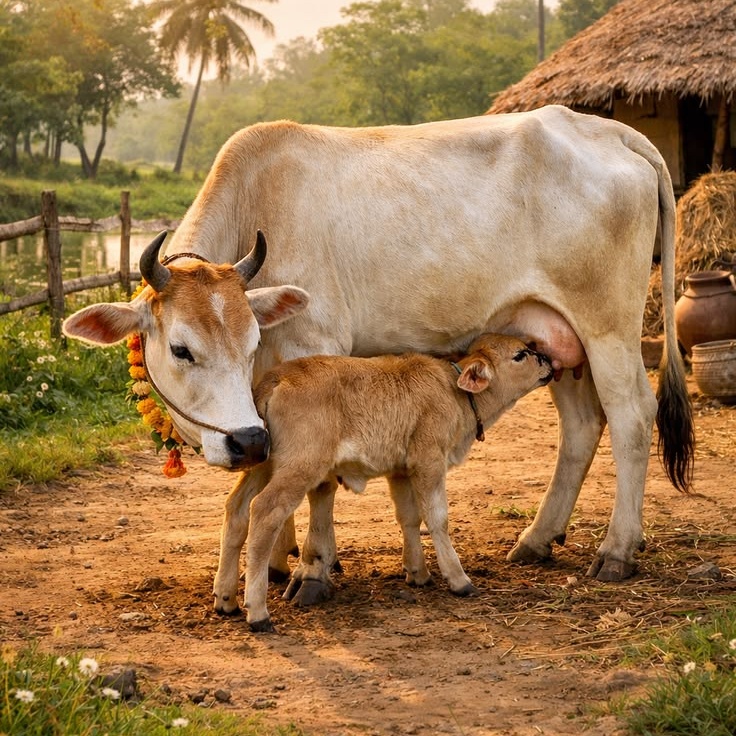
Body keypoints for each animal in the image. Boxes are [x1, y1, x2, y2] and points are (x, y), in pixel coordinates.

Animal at [244, 333, 555, 631]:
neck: (453, 392)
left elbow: (409, 517)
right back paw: (258, 612)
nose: (549, 362)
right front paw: (459, 579)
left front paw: (418, 572)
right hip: (300, 467)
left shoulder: (401, 471)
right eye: (520, 354)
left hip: (264, 464)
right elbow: (437, 518)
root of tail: (278, 376)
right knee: (264, 510)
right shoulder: (428, 460)